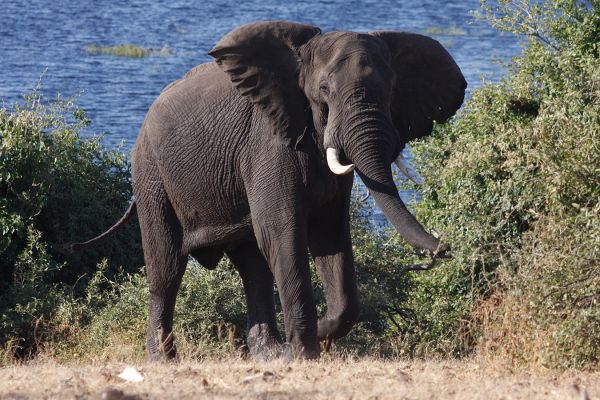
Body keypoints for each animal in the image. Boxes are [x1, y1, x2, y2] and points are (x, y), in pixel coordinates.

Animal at [77, 20, 466, 360]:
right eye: (324, 91)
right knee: (166, 267)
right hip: (151, 174)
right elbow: (283, 233)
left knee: (253, 267)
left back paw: (269, 353)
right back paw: (164, 361)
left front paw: (315, 336)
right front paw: (306, 353)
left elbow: (329, 237)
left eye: (393, 91)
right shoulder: (267, 142)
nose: (442, 247)